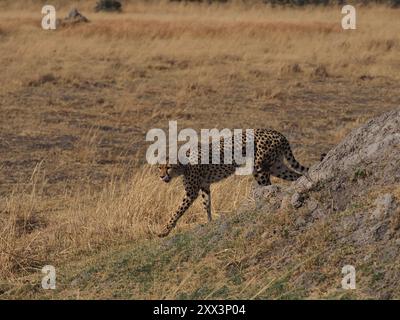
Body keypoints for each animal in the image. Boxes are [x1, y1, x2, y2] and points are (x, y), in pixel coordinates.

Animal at [156, 129, 306, 236]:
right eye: (159, 167)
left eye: (168, 167)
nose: (162, 177)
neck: (183, 165)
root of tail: (275, 132)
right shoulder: (205, 186)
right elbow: (206, 204)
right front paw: (209, 222)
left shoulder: (191, 192)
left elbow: (177, 211)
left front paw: (164, 231)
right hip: (277, 167)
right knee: (297, 175)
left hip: (259, 169)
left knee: (268, 186)